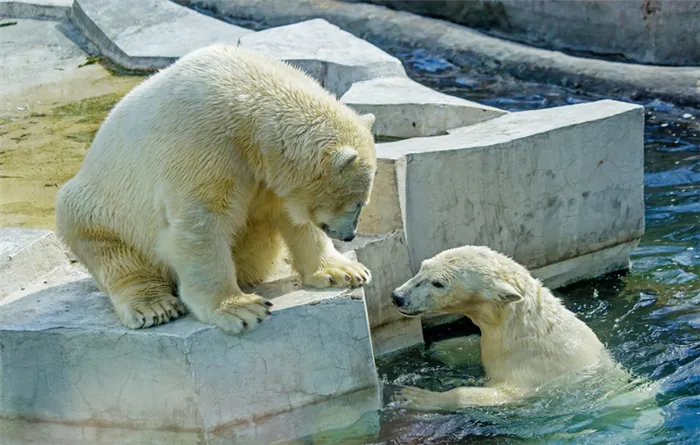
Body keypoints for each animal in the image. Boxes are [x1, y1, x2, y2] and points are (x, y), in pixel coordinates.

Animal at [56, 45, 378, 332]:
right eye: (358, 203)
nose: (349, 235)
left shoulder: (266, 174)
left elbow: (292, 218)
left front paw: (345, 271)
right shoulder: (203, 148)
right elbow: (200, 227)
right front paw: (241, 309)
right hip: (100, 212)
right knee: (113, 254)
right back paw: (153, 306)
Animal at [392, 246, 616, 410]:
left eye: (438, 283)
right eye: (423, 267)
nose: (397, 297)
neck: (524, 331)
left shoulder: (534, 371)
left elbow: (503, 394)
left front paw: (416, 396)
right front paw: (440, 348)